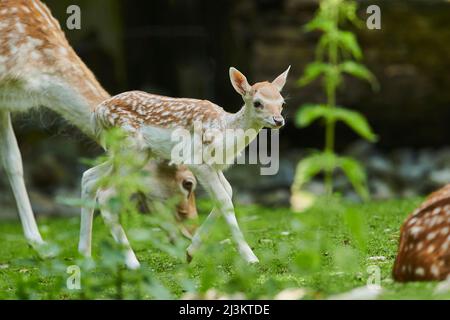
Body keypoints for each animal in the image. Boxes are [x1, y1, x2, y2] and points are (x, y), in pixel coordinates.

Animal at [92, 65, 290, 268]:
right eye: (258, 103)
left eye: (282, 103)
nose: (278, 120)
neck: (225, 132)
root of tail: (97, 112)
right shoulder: (196, 160)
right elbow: (224, 200)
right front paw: (251, 258)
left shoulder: (215, 165)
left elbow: (228, 193)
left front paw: (189, 253)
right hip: (133, 150)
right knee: (105, 193)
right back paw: (133, 264)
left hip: (126, 154)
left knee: (90, 177)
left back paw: (87, 255)